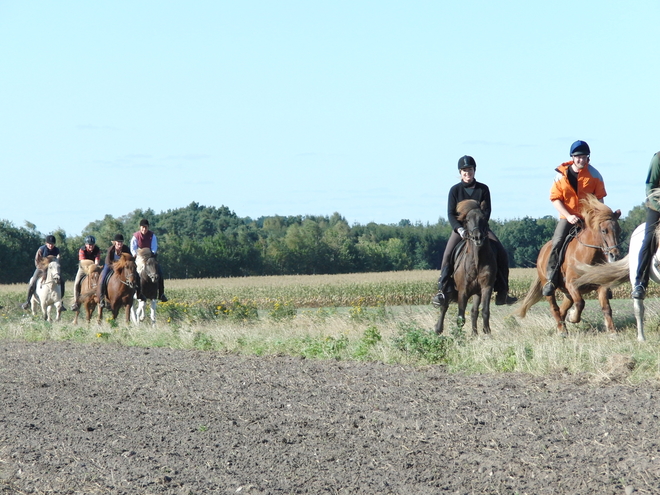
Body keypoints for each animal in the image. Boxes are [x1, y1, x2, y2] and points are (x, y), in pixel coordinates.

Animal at [434, 202, 496, 338]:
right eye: (467, 220)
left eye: (484, 218)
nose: (477, 237)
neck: (477, 261)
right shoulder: (463, 291)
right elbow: (460, 317)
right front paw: (458, 337)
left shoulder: (486, 287)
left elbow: (485, 311)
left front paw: (487, 333)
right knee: (444, 306)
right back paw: (438, 329)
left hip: (477, 292)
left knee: (474, 311)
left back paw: (474, 333)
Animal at [516, 196, 624, 336]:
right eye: (604, 230)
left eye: (619, 230)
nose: (615, 256)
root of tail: (542, 251)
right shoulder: (572, 284)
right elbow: (580, 303)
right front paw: (573, 317)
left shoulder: (601, 285)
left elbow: (606, 307)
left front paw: (612, 331)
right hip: (550, 288)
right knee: (555, 308)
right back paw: (562, 331)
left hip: (567, 293)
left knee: (562, 310)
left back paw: (561, 328)